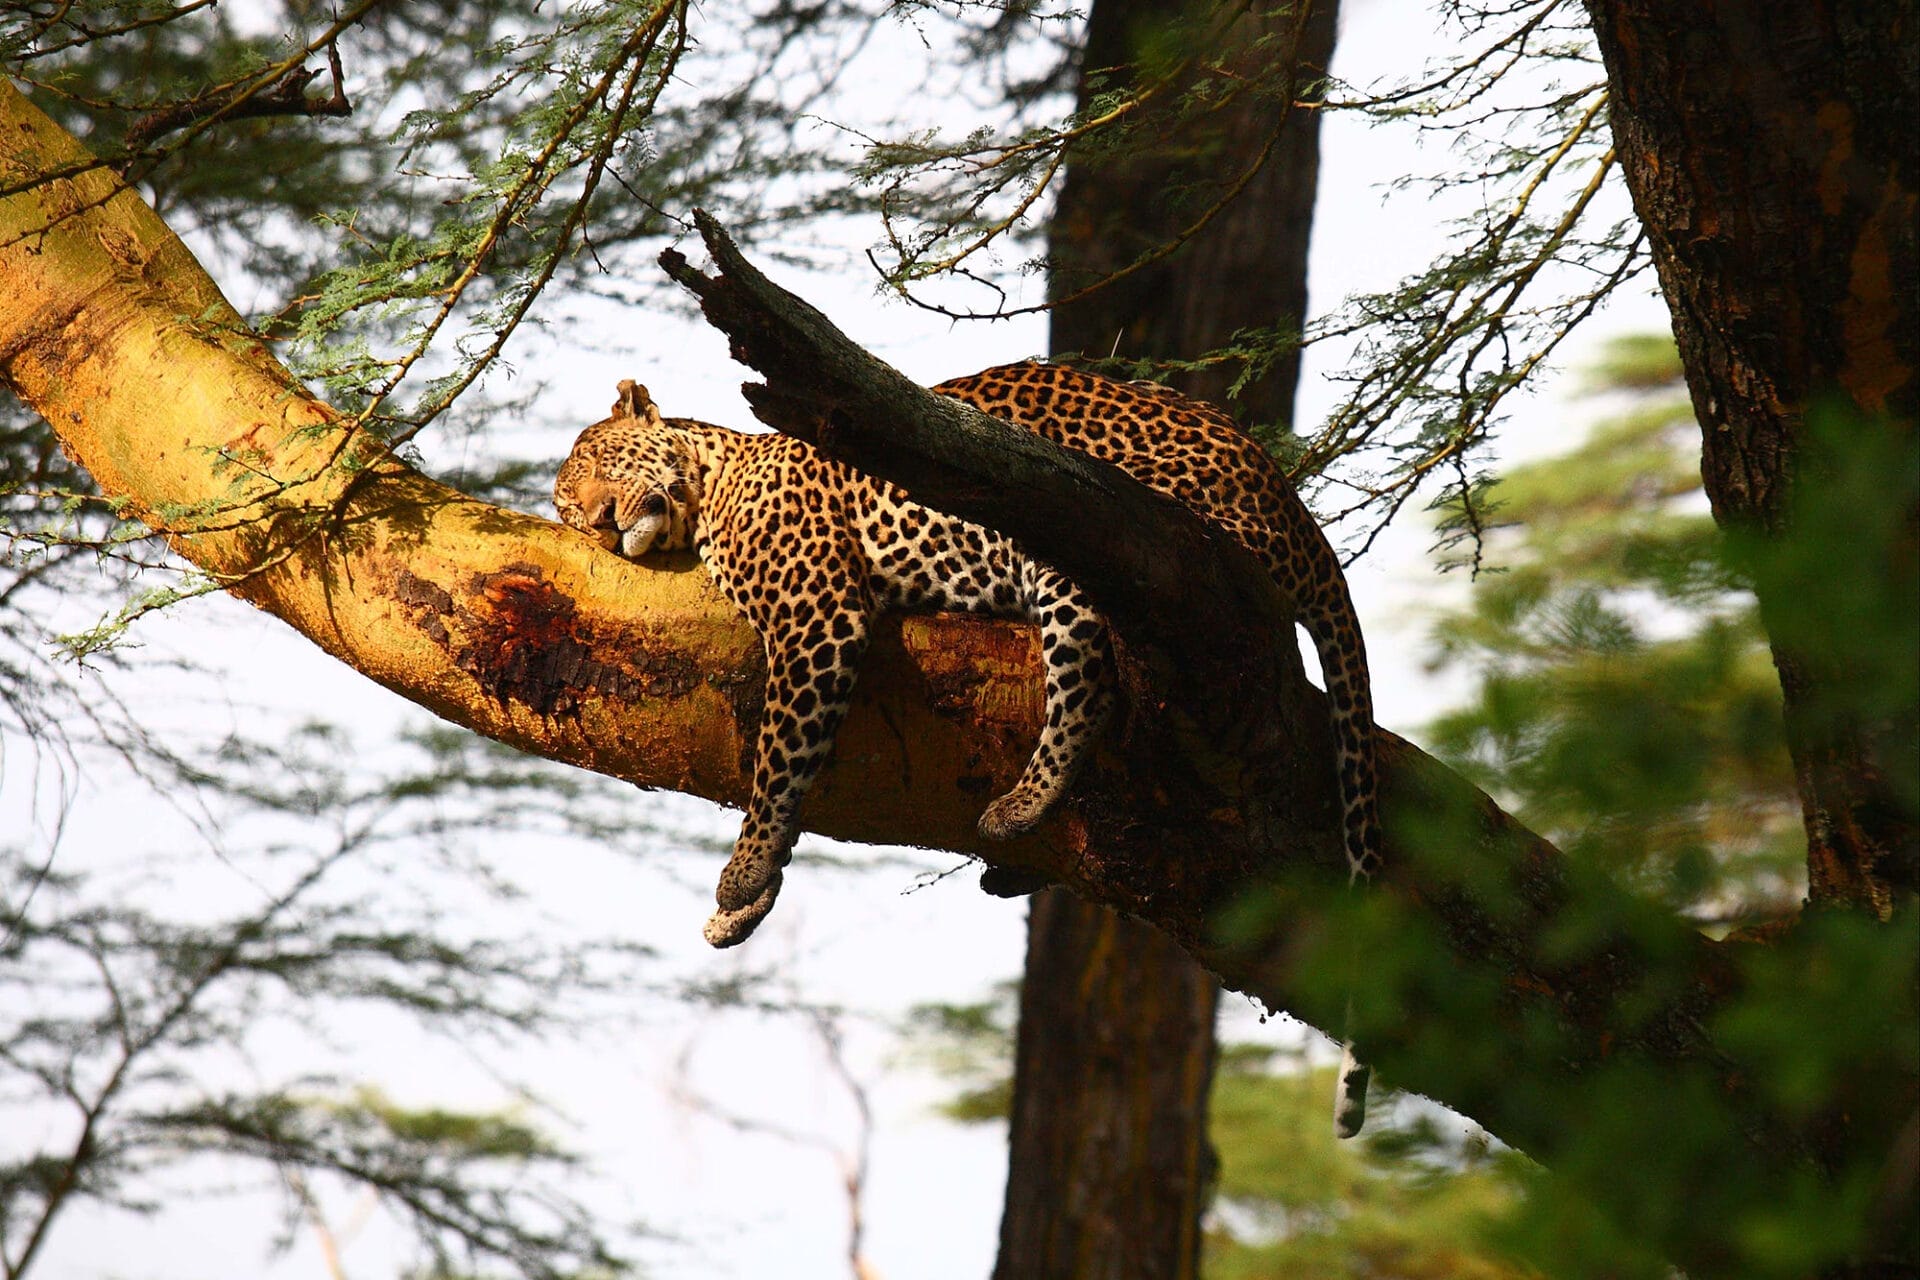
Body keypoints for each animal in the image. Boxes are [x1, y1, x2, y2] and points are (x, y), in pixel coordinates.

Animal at [556, 358, 1382, 1128]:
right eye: (567, 509)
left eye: (601, 466)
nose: (598, 522)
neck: (714, 482)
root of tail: (1286, 501)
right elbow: (796, 774)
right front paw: (749, 904)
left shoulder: (815, 616)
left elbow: (780, 757)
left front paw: (742, 873)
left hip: (1076, 532)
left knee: (1089, 681)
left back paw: (1020, 809)